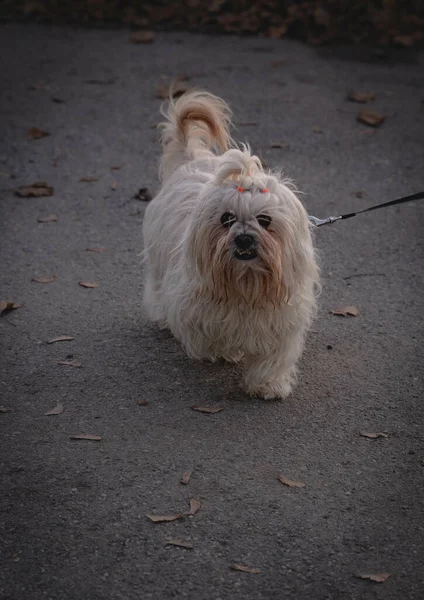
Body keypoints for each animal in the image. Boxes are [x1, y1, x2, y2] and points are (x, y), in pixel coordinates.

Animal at [142, 91, 318, 398]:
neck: (246, 283)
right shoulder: (198, 311)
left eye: (264, 220)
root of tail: (191, 160)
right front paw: (228, 353)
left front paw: (268, 384)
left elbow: (272, 358)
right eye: (226, 219)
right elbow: (212, 337)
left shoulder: (281, 324)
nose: (244, 237)